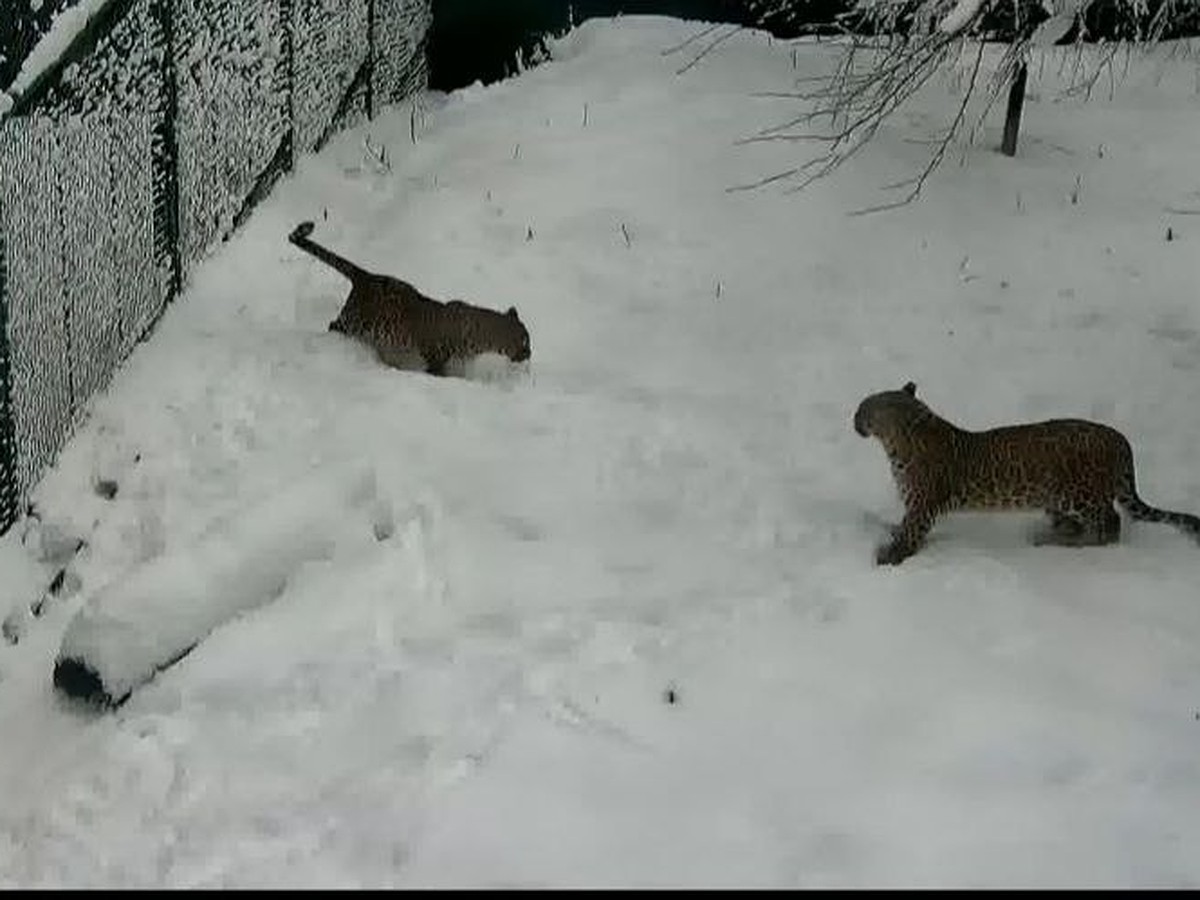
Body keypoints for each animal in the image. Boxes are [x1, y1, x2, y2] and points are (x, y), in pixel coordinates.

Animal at [285, 222, 530, 376]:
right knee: (333, 325)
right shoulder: (435, 357)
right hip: (355, 323)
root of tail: (365, 275)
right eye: (526, 341)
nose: (529, 355)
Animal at [854, 384, 1200, 566]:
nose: (853, 419)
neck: (898, 442)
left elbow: (910, 532)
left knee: (1110, 523)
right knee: (1077, 523)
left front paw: (888, 557)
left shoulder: (922, 505)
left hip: (1080, 494)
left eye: (864, 408)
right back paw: (1051, 539)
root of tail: (1119, 438)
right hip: (1056, 498)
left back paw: (1081, 548)